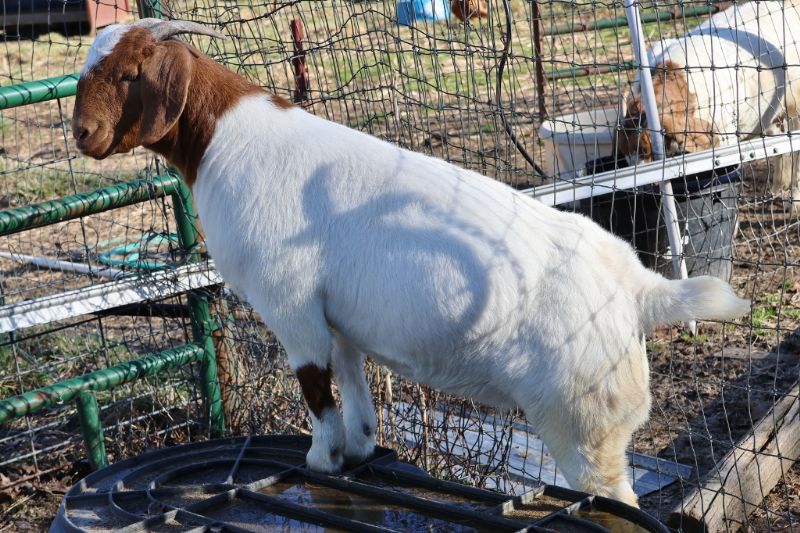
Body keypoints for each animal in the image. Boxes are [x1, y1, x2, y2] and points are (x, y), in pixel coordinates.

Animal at [72, 18, 750, 507]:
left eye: (130, 73)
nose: (80, 134)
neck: (224, 140)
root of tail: (639, 288)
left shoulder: (290, 306)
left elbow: (316, 392)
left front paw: (319, 461)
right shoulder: (335, 317)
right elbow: (352, 386)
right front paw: (358, 452)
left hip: (585, 425)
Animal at [616, 1, 800, 211]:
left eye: (648, 153)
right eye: (626, 155)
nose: (639, 190)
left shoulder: (725, 134)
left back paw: (794, 201)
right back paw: (777, 189)